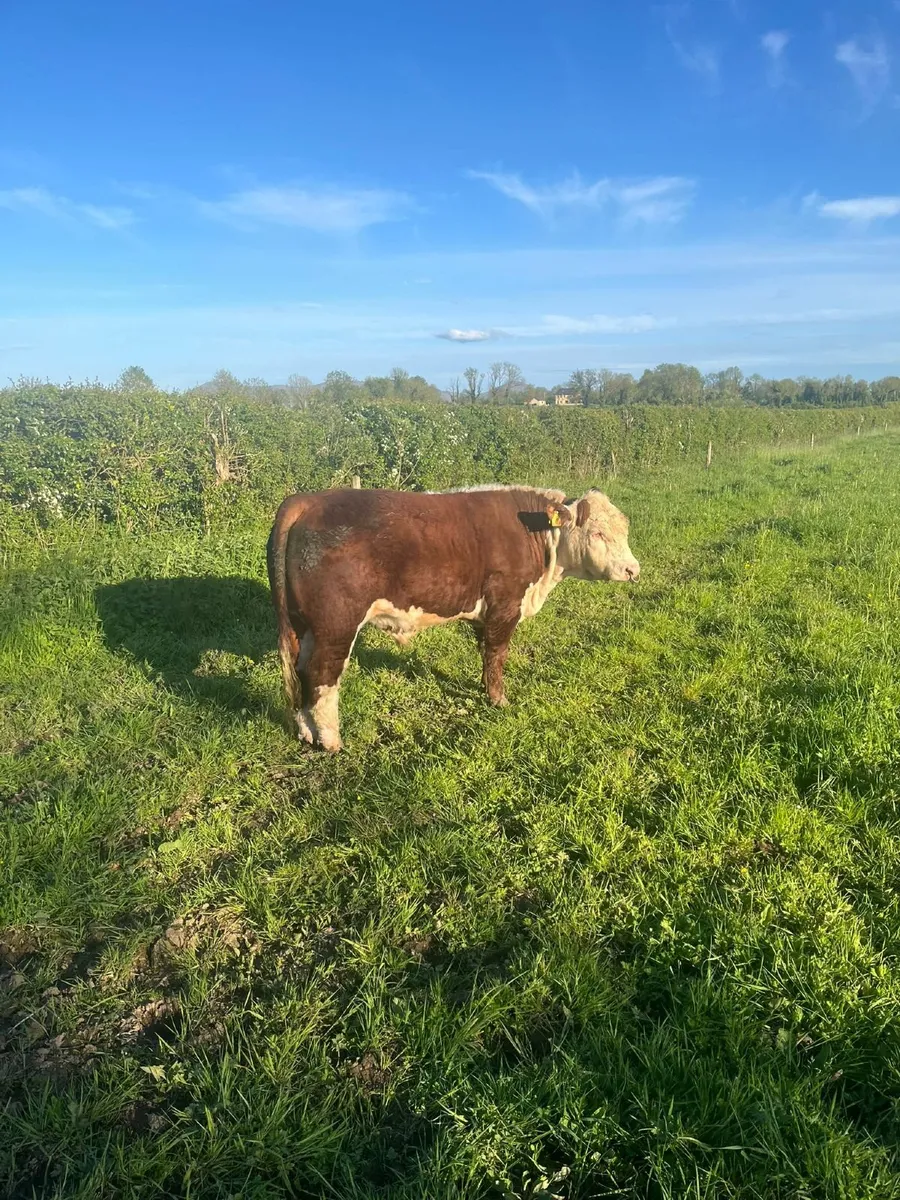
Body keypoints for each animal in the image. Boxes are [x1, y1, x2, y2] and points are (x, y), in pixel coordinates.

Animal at [266, 484, 640, 752]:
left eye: (624, 531)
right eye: (598, 533)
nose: (632, 570)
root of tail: (308, 499)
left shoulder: (484, 613)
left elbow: (485, 653)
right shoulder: (505, 604)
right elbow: (497, 655)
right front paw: (499, 701)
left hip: (302, 624)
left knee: (300, 670)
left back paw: (306, 732)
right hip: (336, 624)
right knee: (321, 674)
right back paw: (331, 741)